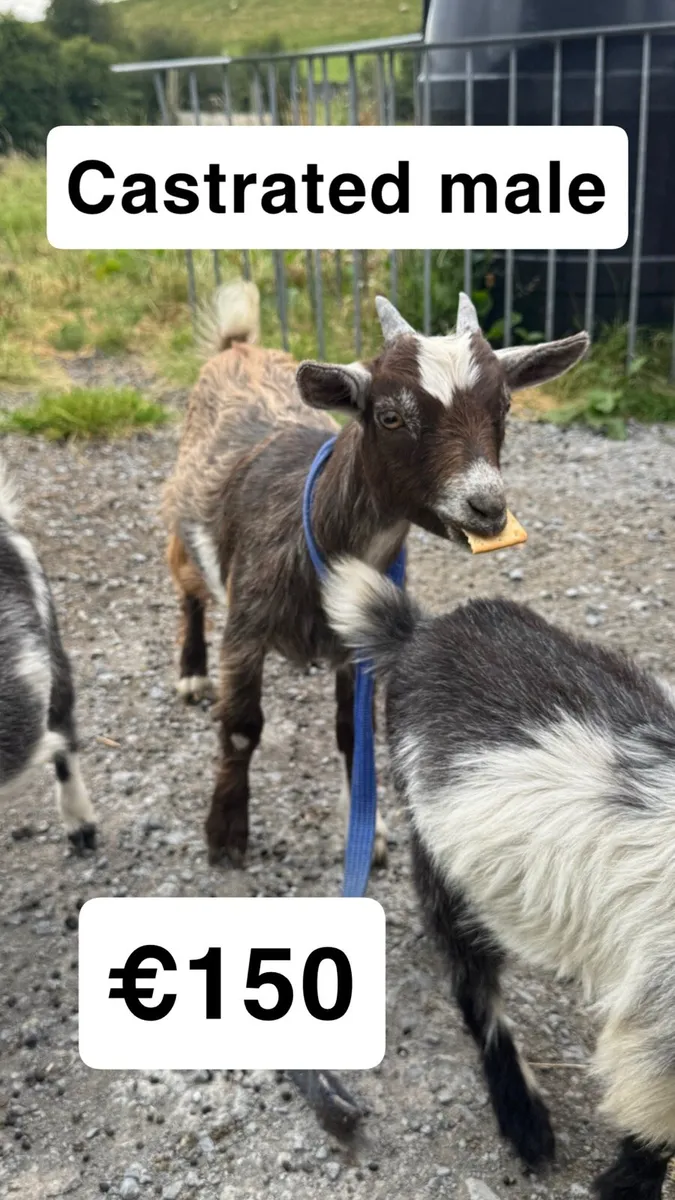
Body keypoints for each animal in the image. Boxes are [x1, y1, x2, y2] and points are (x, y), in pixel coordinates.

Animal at [162, 278, 588, 867]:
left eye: (504, 405)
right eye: (390, 416)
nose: (487, 507)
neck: (313, 534)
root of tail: (238, 348)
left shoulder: (357, 643)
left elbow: (352, 732)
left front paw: (370, 831)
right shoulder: (245, 629)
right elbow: (243, 728)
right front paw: (225, 833)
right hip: (184, 517)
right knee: (187, 586)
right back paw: (191, 672)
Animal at [323, 557, 675, 1200]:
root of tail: (421, 632)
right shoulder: (662, 1023)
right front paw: (624, 1184)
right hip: (441, 854)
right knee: (472, 980)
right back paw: (524, 1119)